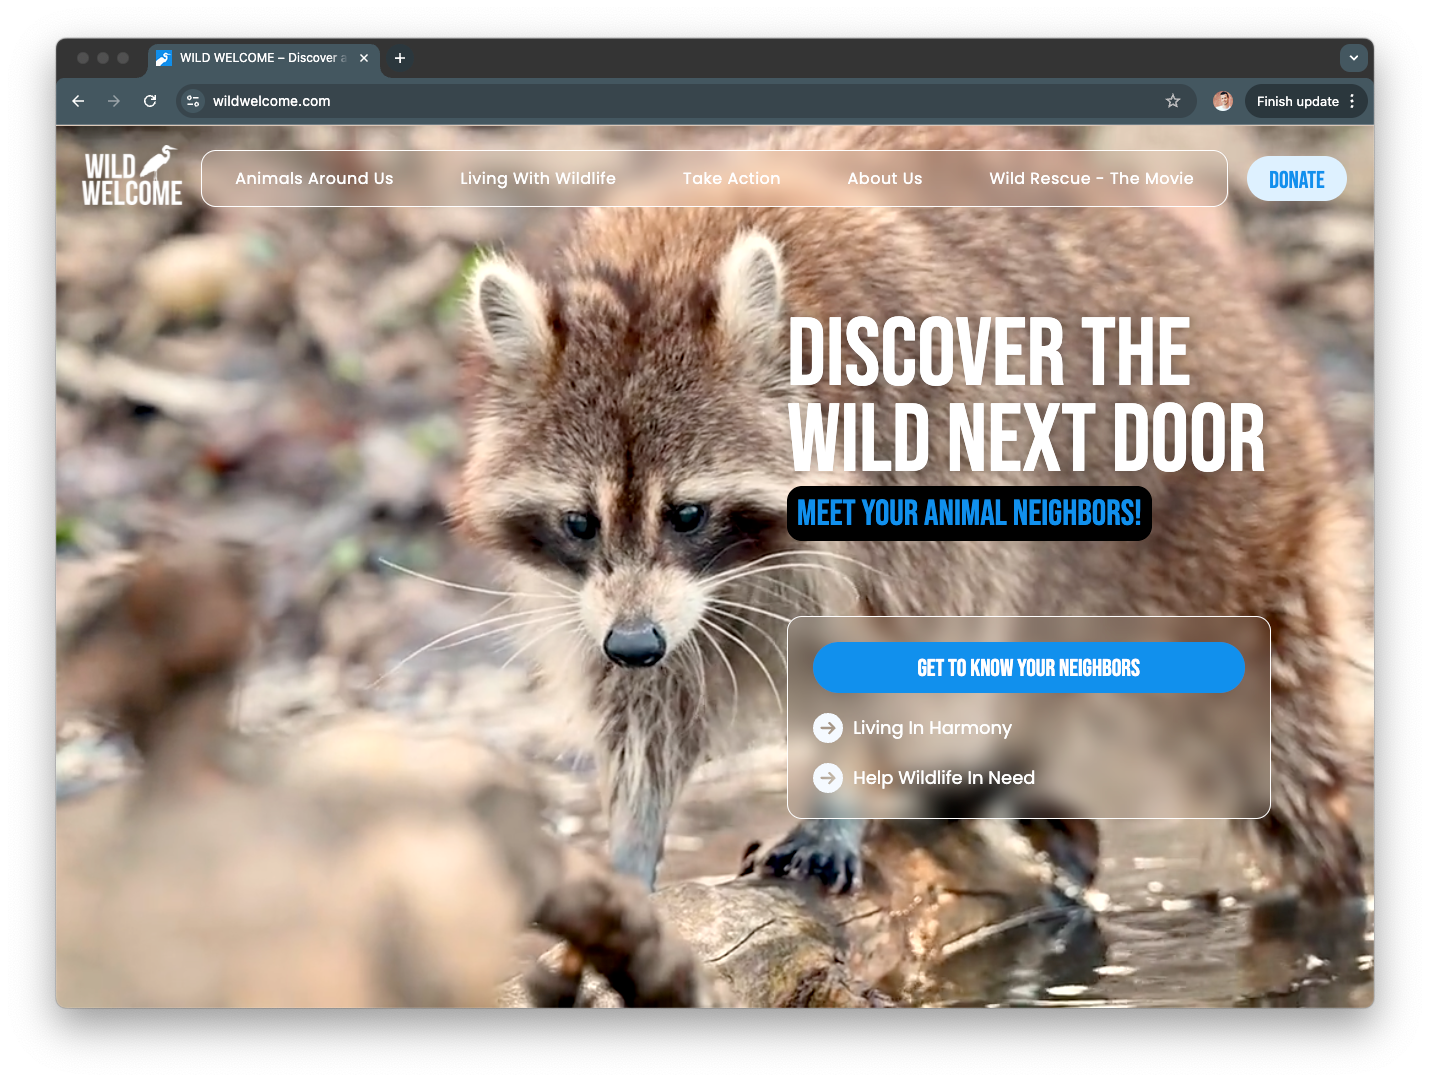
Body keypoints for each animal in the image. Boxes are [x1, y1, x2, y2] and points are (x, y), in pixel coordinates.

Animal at [456, 126, 1368, 902]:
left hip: (1218, 539)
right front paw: (634, 837)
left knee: (1274, 739)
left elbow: (891, 658)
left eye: (688, 513)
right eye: (580, 521)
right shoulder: (610, 600)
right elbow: (646, 709)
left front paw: (839, 803)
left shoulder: (926, 471)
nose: (635, 644)